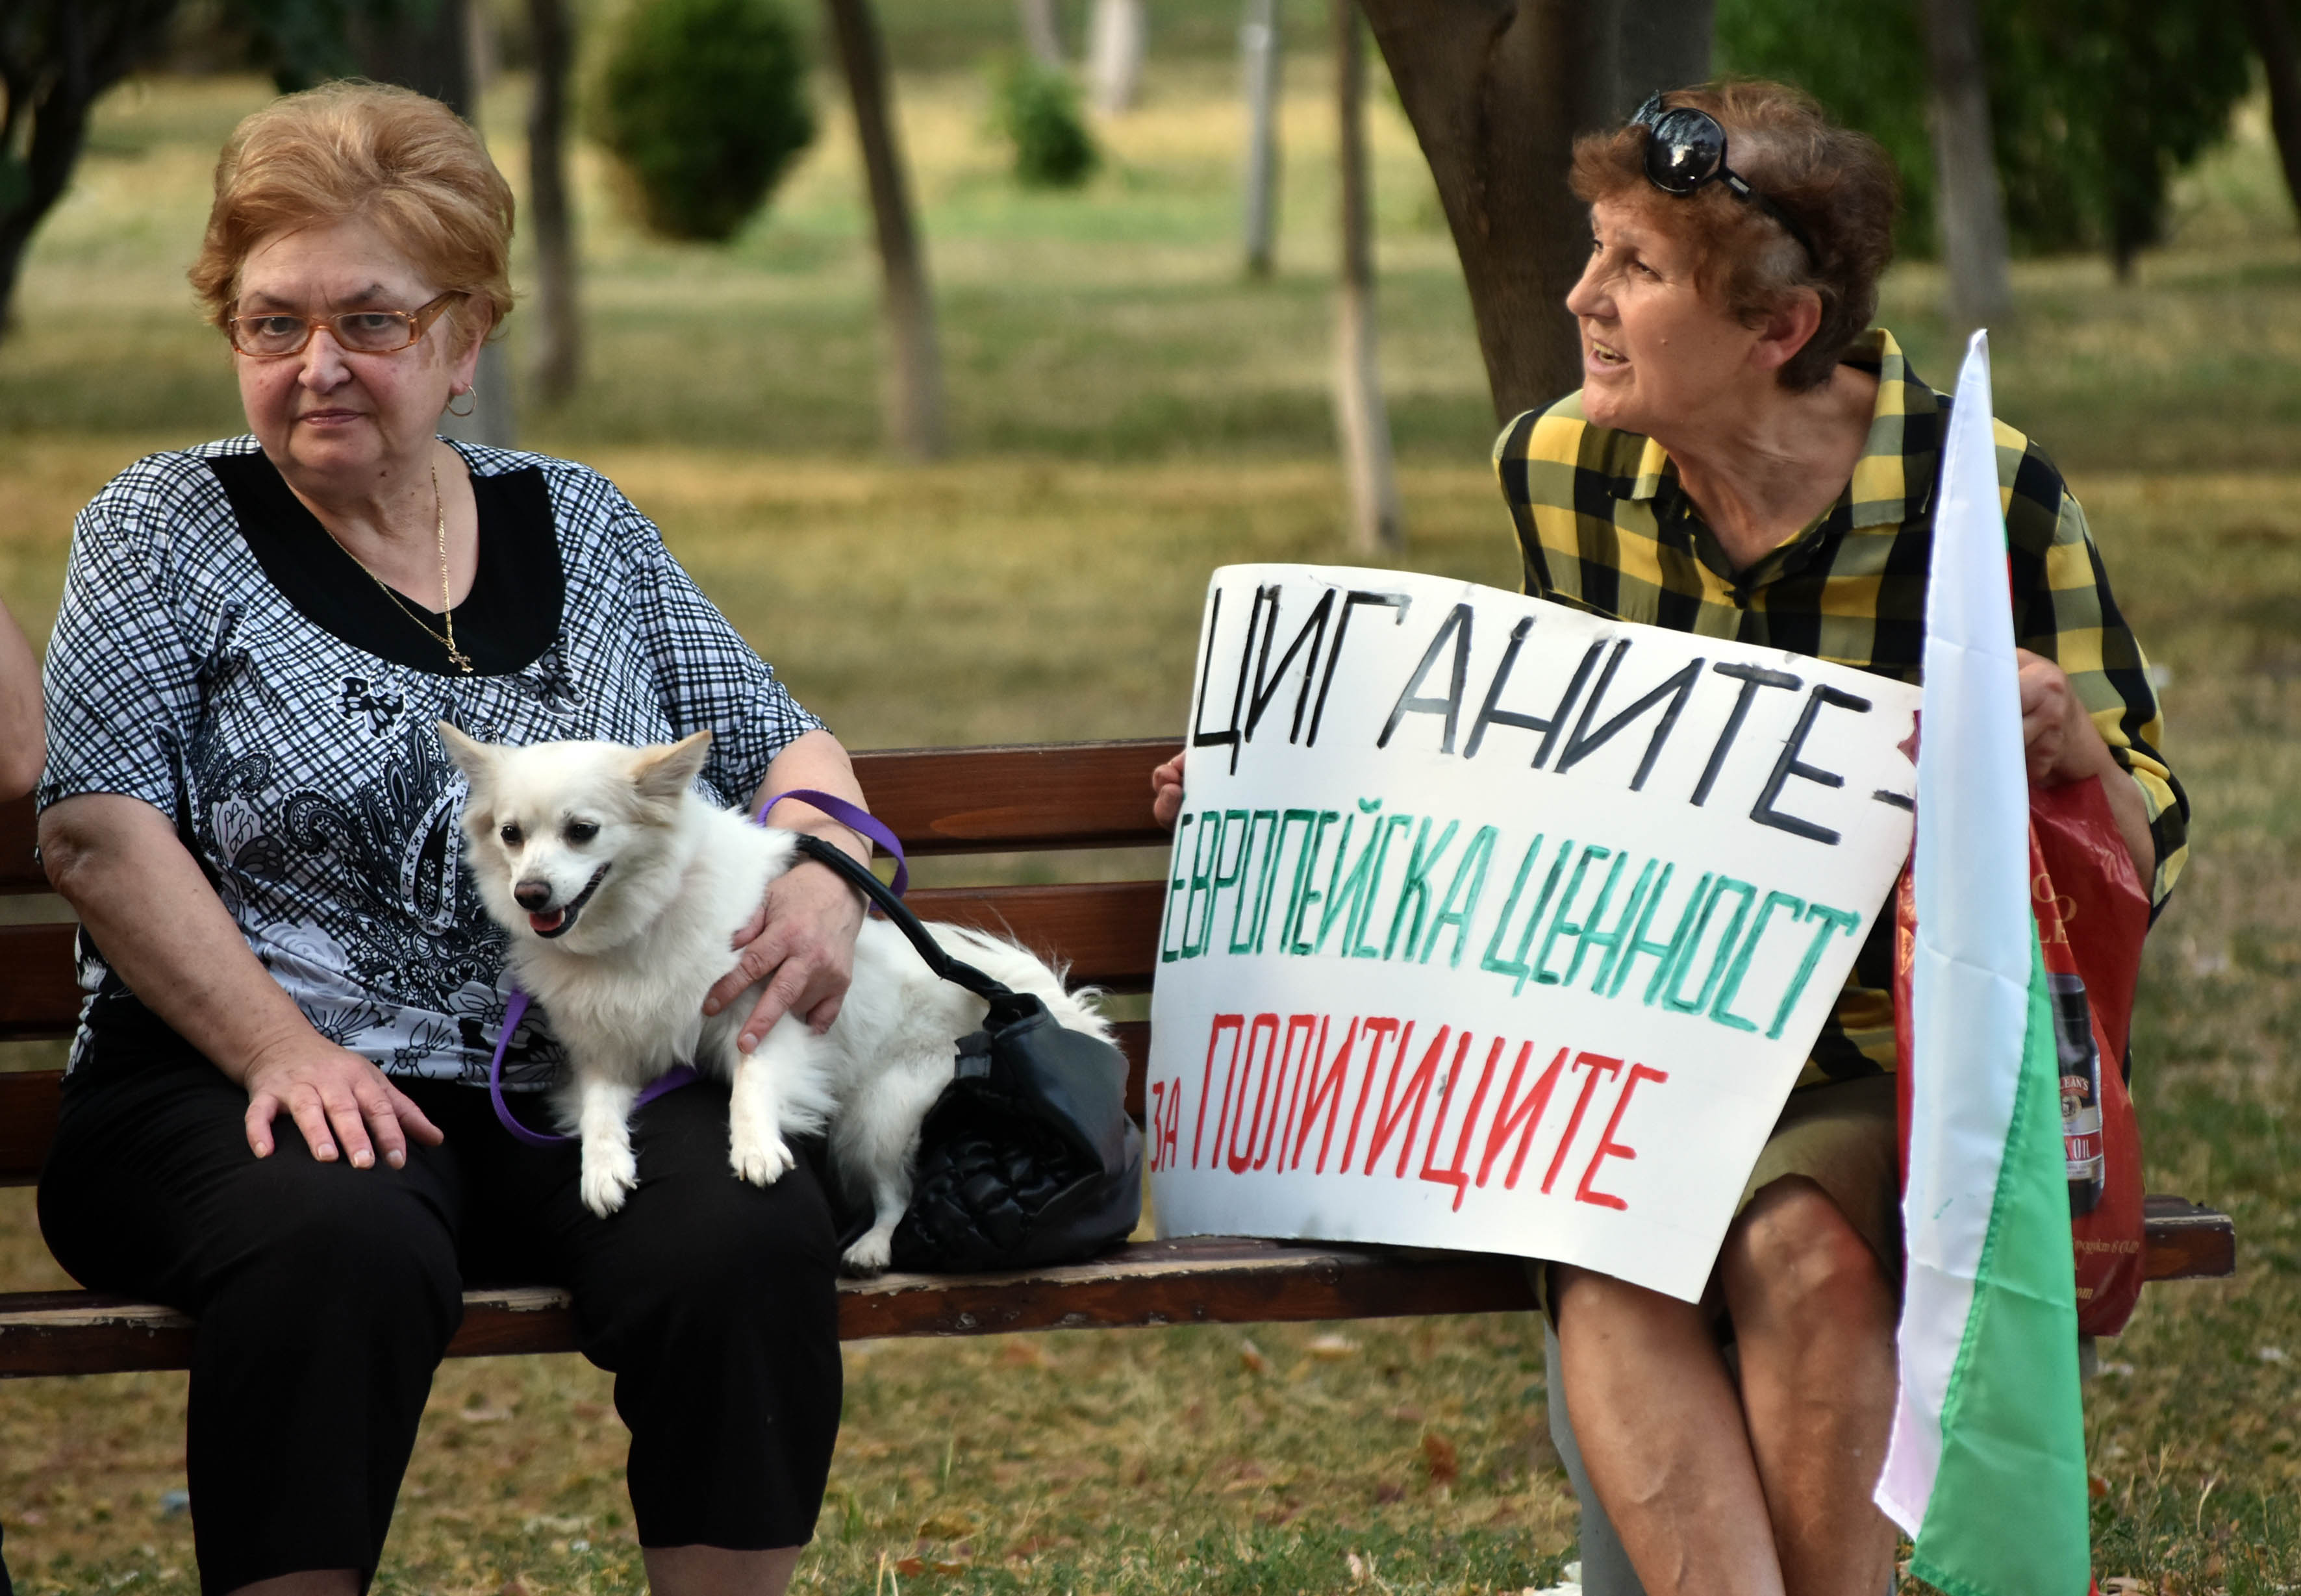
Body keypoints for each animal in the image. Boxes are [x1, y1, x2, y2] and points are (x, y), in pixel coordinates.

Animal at [439, 727, 1113, 1278]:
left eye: (582, 831)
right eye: (510, 835)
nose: (530, 893)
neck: (639, 922)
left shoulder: (767, 1012)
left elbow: (752, 1082)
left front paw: (755, 1146)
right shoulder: (607, 1054)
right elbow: (602, 1113)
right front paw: (603, 1169)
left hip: (878, 1118)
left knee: (896, 1192)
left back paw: (873, 1246)